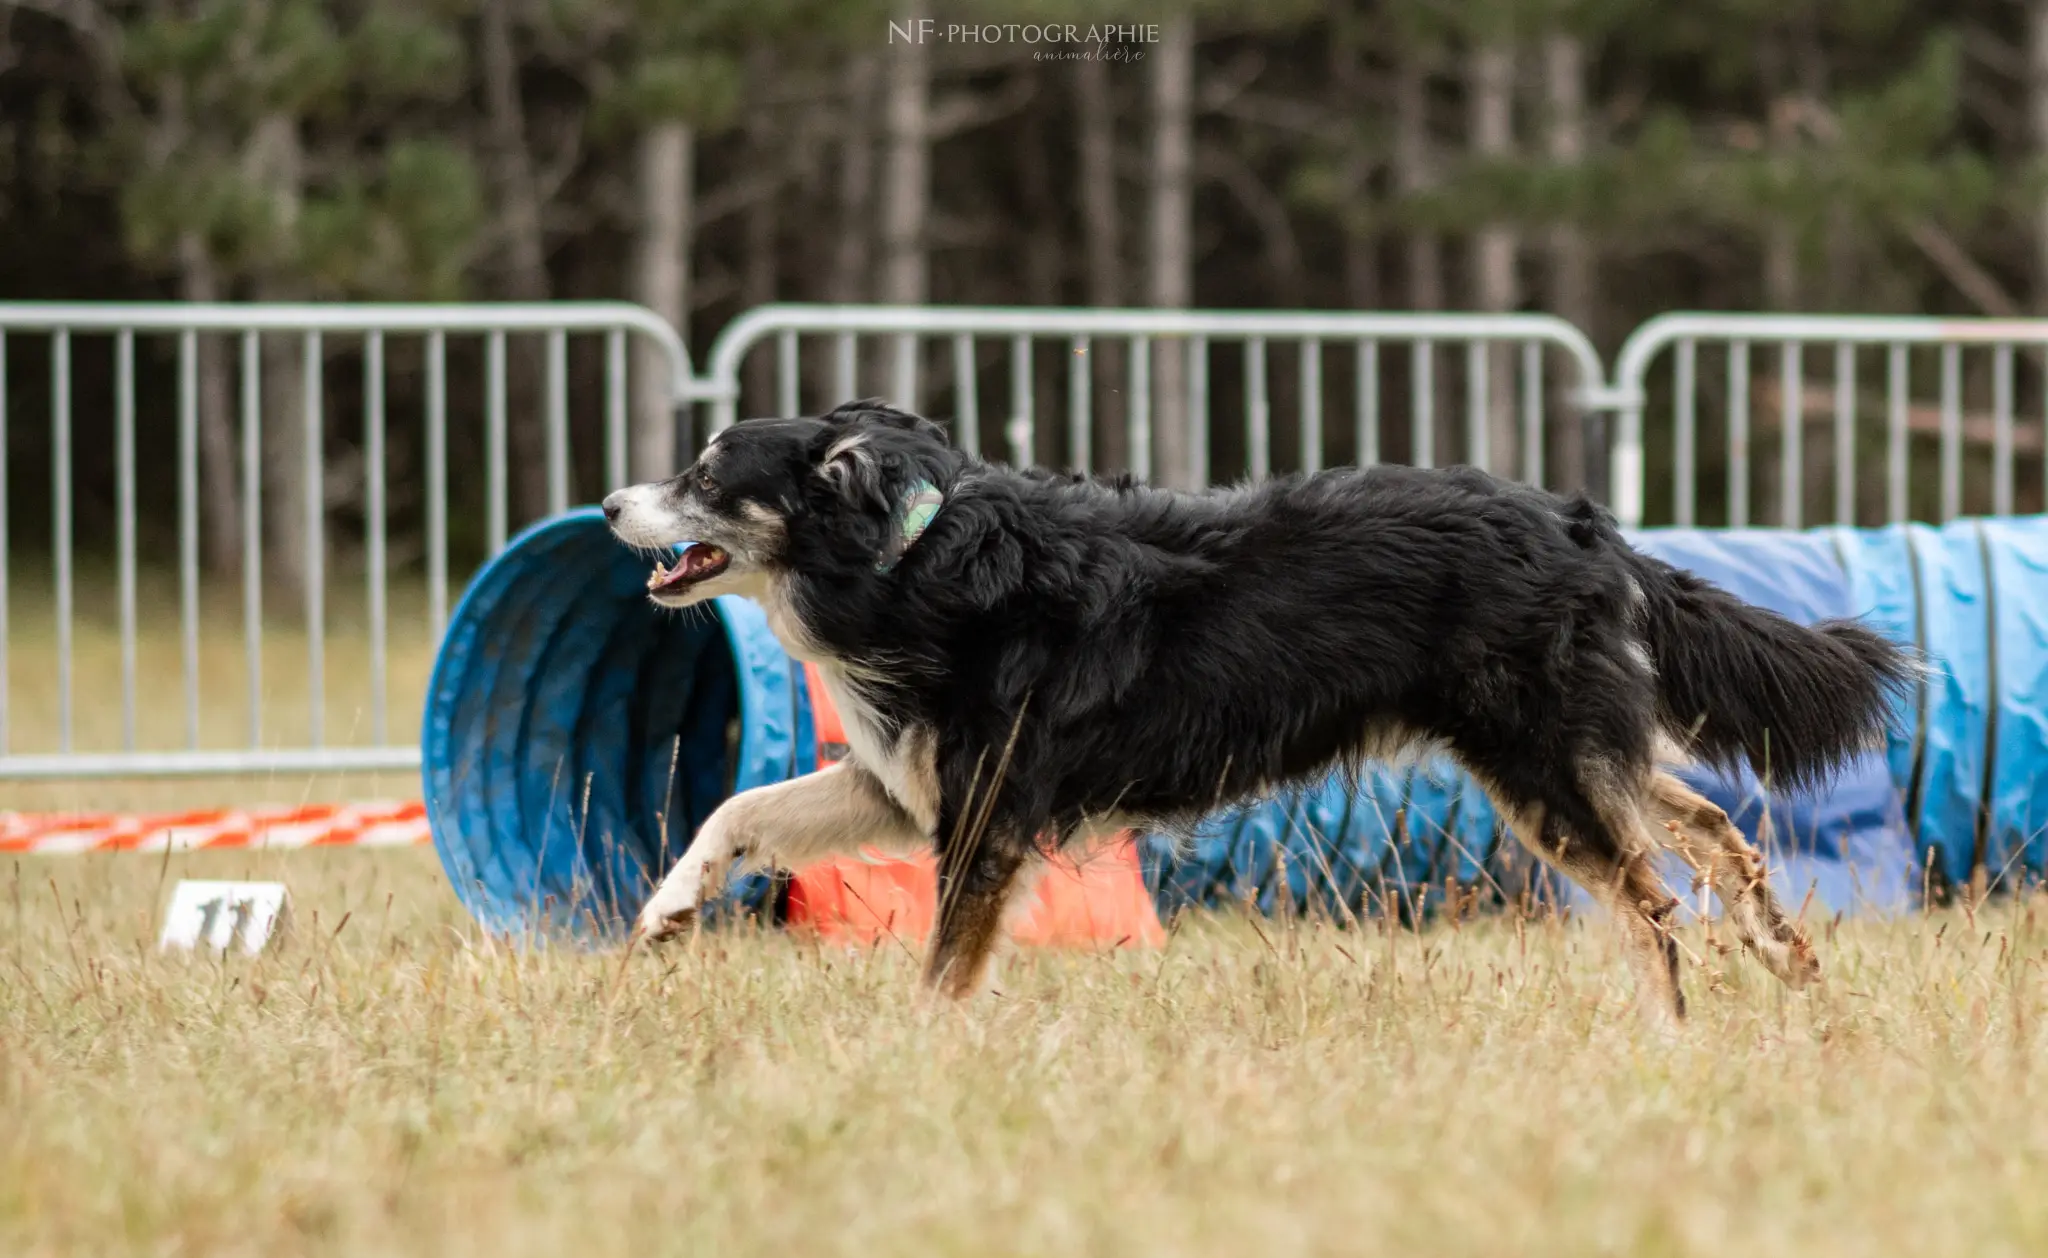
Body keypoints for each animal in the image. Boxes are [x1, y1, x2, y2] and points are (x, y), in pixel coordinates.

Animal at [598, 403, 1908, 1024]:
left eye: (707, 475)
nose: (607, 503)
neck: (907, 559)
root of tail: (1584, 526)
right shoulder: (892, 781)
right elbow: (737, 809)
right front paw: (665, 913)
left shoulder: (986, 811)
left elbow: (942, 964)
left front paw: (922, 1056)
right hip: (1568, 746)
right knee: (1703, 824)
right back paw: (1781, 957)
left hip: (1537, 762)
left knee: (1648, 896)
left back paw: (1671, 1031)